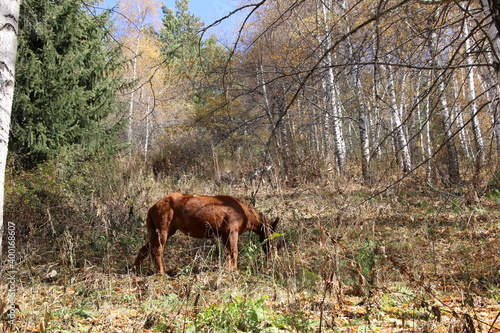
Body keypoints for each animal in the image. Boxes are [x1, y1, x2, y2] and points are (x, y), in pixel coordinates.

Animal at [132, 192, 282, 274]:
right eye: (271, 237)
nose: (271, 257)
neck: (243, 212)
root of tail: (153, 206)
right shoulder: (231, 232)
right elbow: (234, 252)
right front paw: (234, 270)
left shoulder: (225, 235)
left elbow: (228, 253)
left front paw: (228, 269)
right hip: (162, 233)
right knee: (157, 250)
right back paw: (162, 273)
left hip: (164, 232)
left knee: (145, 250)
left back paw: (135, 270)